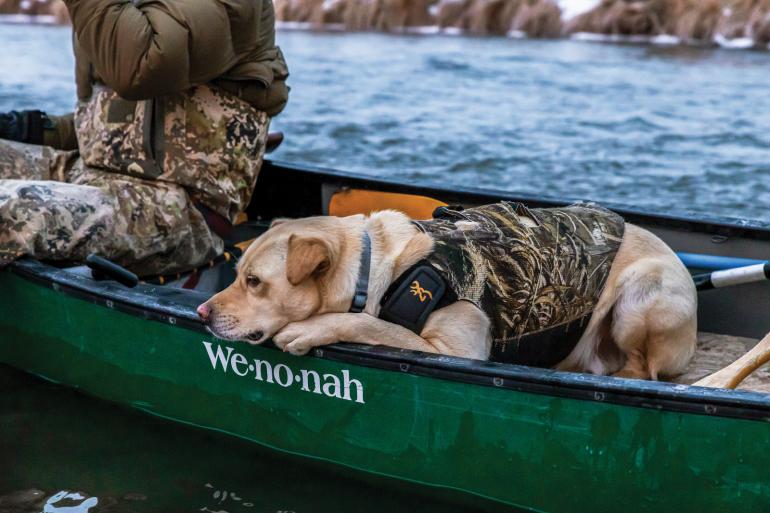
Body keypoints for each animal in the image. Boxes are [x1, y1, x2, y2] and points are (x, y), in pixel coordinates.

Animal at [200, 205, 696, 380]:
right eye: (237, 274)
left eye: (255, 282)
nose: (202, 312)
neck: (372, 269)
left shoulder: (459, 349)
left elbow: (371, 323)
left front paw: (312, 328)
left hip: (641, 294)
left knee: (644, 369)